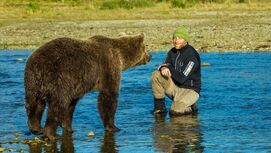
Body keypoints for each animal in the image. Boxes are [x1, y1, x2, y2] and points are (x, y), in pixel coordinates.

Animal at [24, 33, 152, 140]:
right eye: (146, 47)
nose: (150, 57)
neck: (121, 56)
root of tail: (40, 65)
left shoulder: (77, 85)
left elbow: (72, 104)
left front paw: (68, 127)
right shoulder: (107, 66)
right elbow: (108, 96)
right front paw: (113, 127)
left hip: (32, 81)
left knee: (35, 104)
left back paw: (36, 128)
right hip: (59, 77)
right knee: (57, 104)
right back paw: (52, 134)